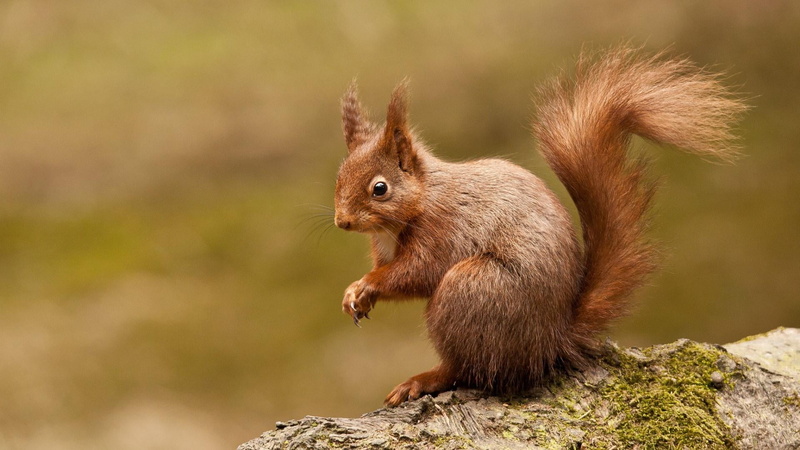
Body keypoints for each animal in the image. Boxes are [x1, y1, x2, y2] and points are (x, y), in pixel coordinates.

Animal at [333, 46, 745, 407]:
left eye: (380, 188)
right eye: (338, 177)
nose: (342, 221)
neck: (419, 200)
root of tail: (550, 342)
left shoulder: (442, 229)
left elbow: (415, 272)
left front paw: (366, 285)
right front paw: (355, 294)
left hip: (473, 290)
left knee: (468, 369)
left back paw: (423, 380)